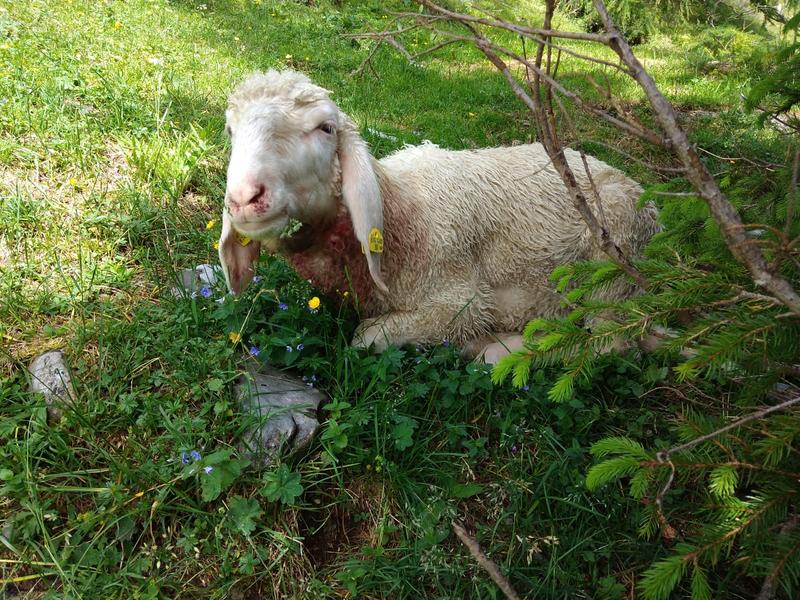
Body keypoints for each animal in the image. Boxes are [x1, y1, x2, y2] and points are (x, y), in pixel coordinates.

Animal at [218, 69, 660, 362]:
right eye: (230, 130)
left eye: (325, 128)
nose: (244, 197)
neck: (401, 217)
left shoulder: (459, 302)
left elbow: (367, 337)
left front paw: (476, 340)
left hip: (612, 261)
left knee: (610, 341)